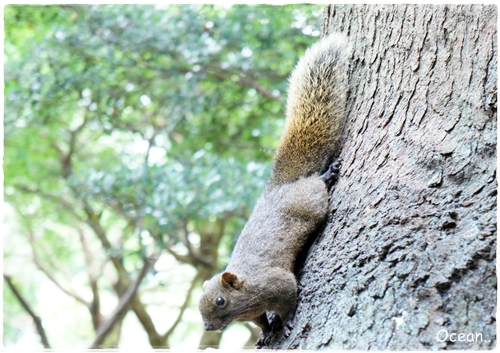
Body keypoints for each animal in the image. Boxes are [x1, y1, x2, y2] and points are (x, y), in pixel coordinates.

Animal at [197, 33, 350, 346]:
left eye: (220, 301)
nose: (207, 327)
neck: (246, 297)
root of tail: (280, 185)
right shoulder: (254, 313)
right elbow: (260, 322)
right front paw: (266, 333)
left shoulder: (277, 284)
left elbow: (289, 299)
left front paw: (286, 322)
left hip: (311, 201)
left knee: (317, 185)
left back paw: (327, 174)